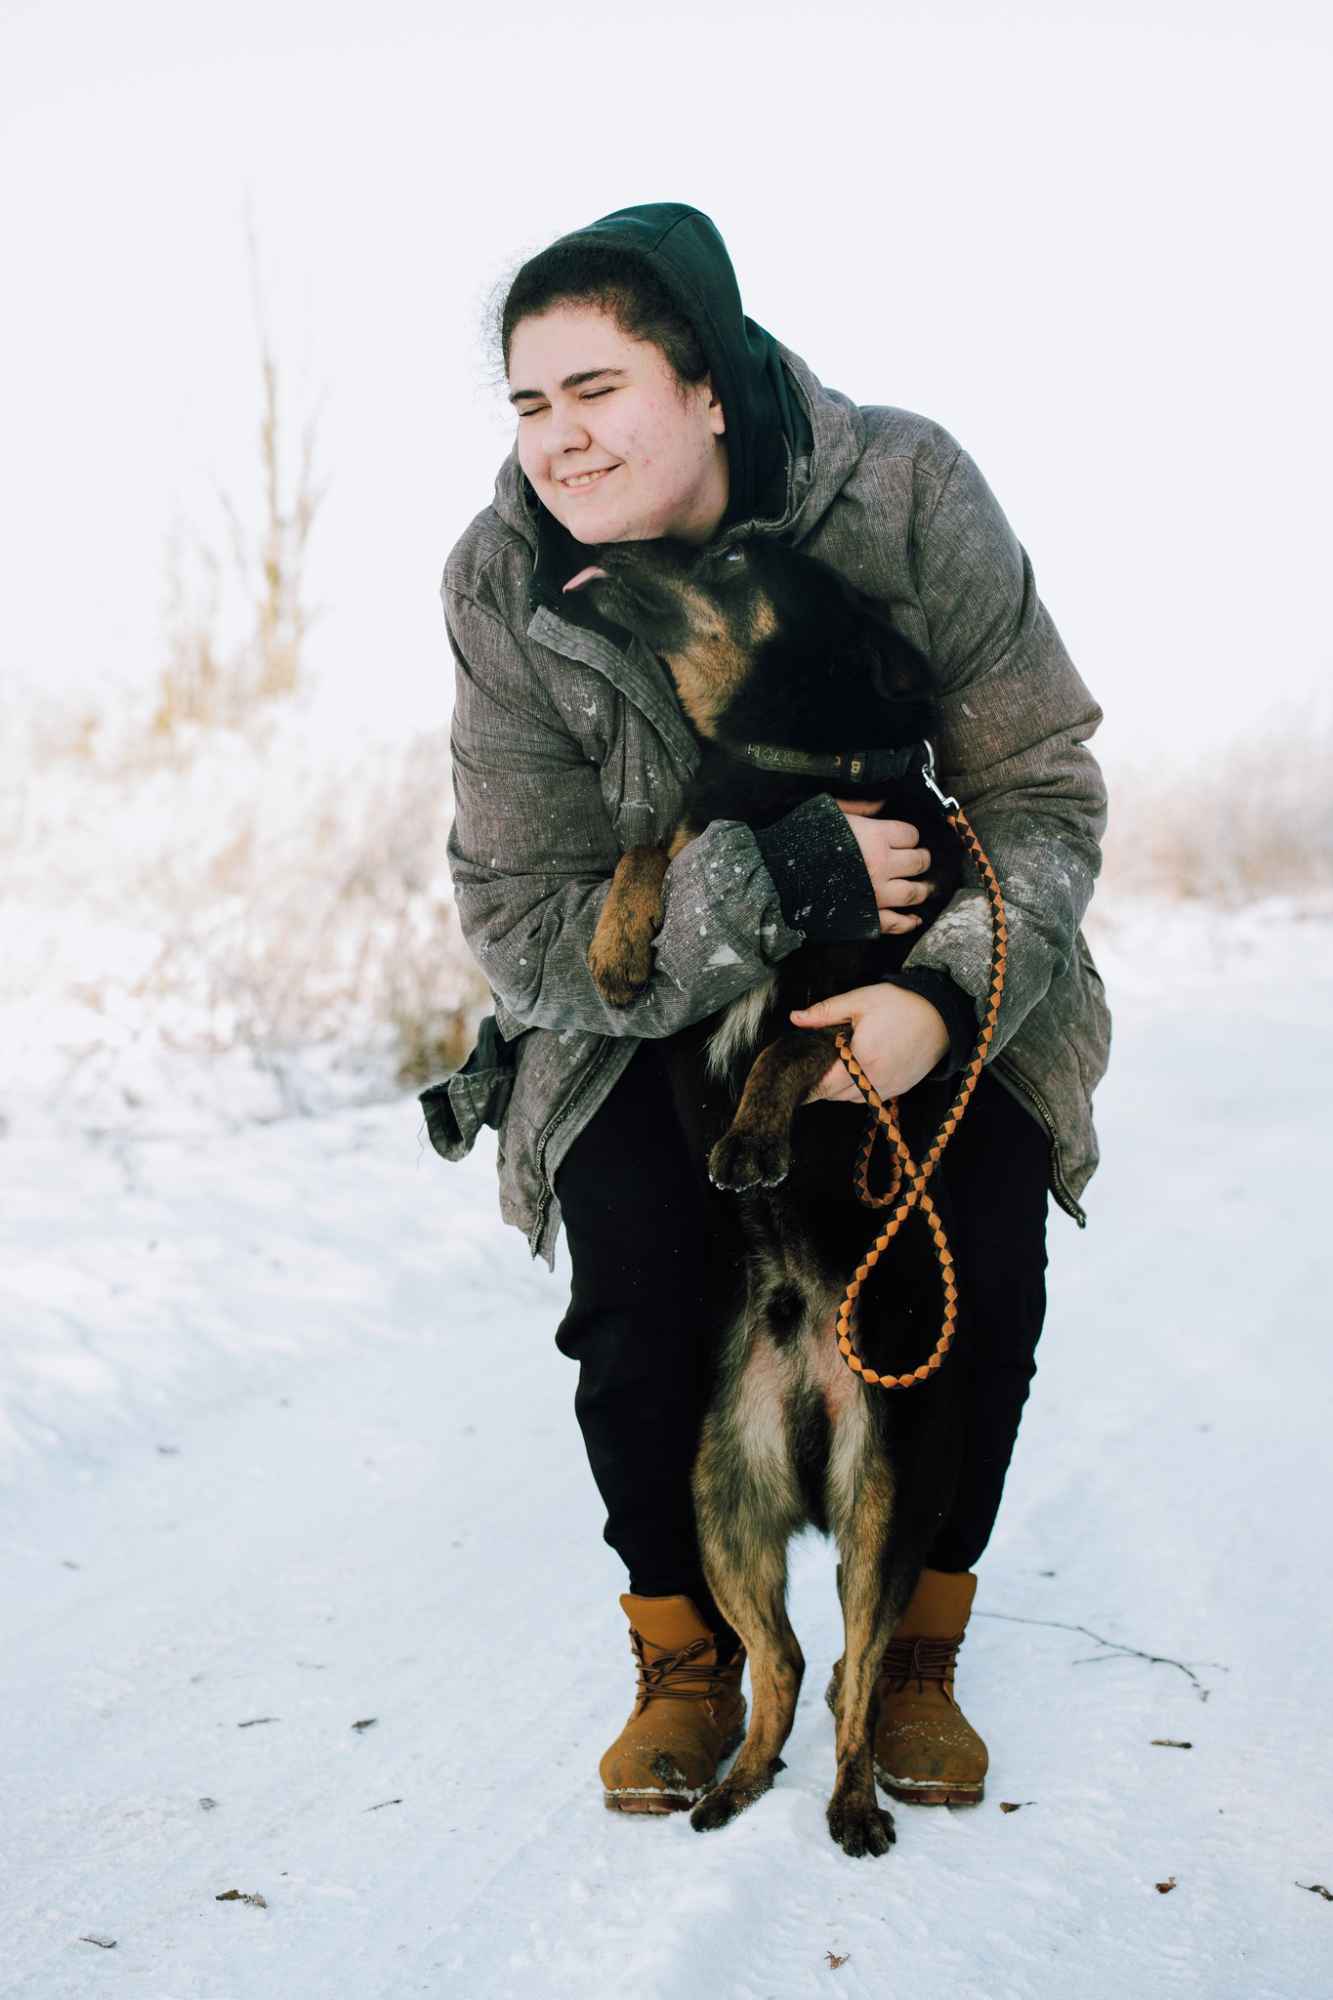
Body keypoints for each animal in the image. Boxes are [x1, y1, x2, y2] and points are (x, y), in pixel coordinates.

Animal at [564, 544, 972, 1856]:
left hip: (877, 1504)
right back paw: (734, 1783)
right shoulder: (691, 974)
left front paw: (749, 1138)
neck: (789, 772)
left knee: (856, 1668)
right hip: (722, 1504)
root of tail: (802, 1389)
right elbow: (654, 841)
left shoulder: (860, 995)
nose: (621, 551)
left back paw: (852, 1803)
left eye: (738, 553)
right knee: (787, 1663)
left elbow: (792, 1045)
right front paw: (617, 944)